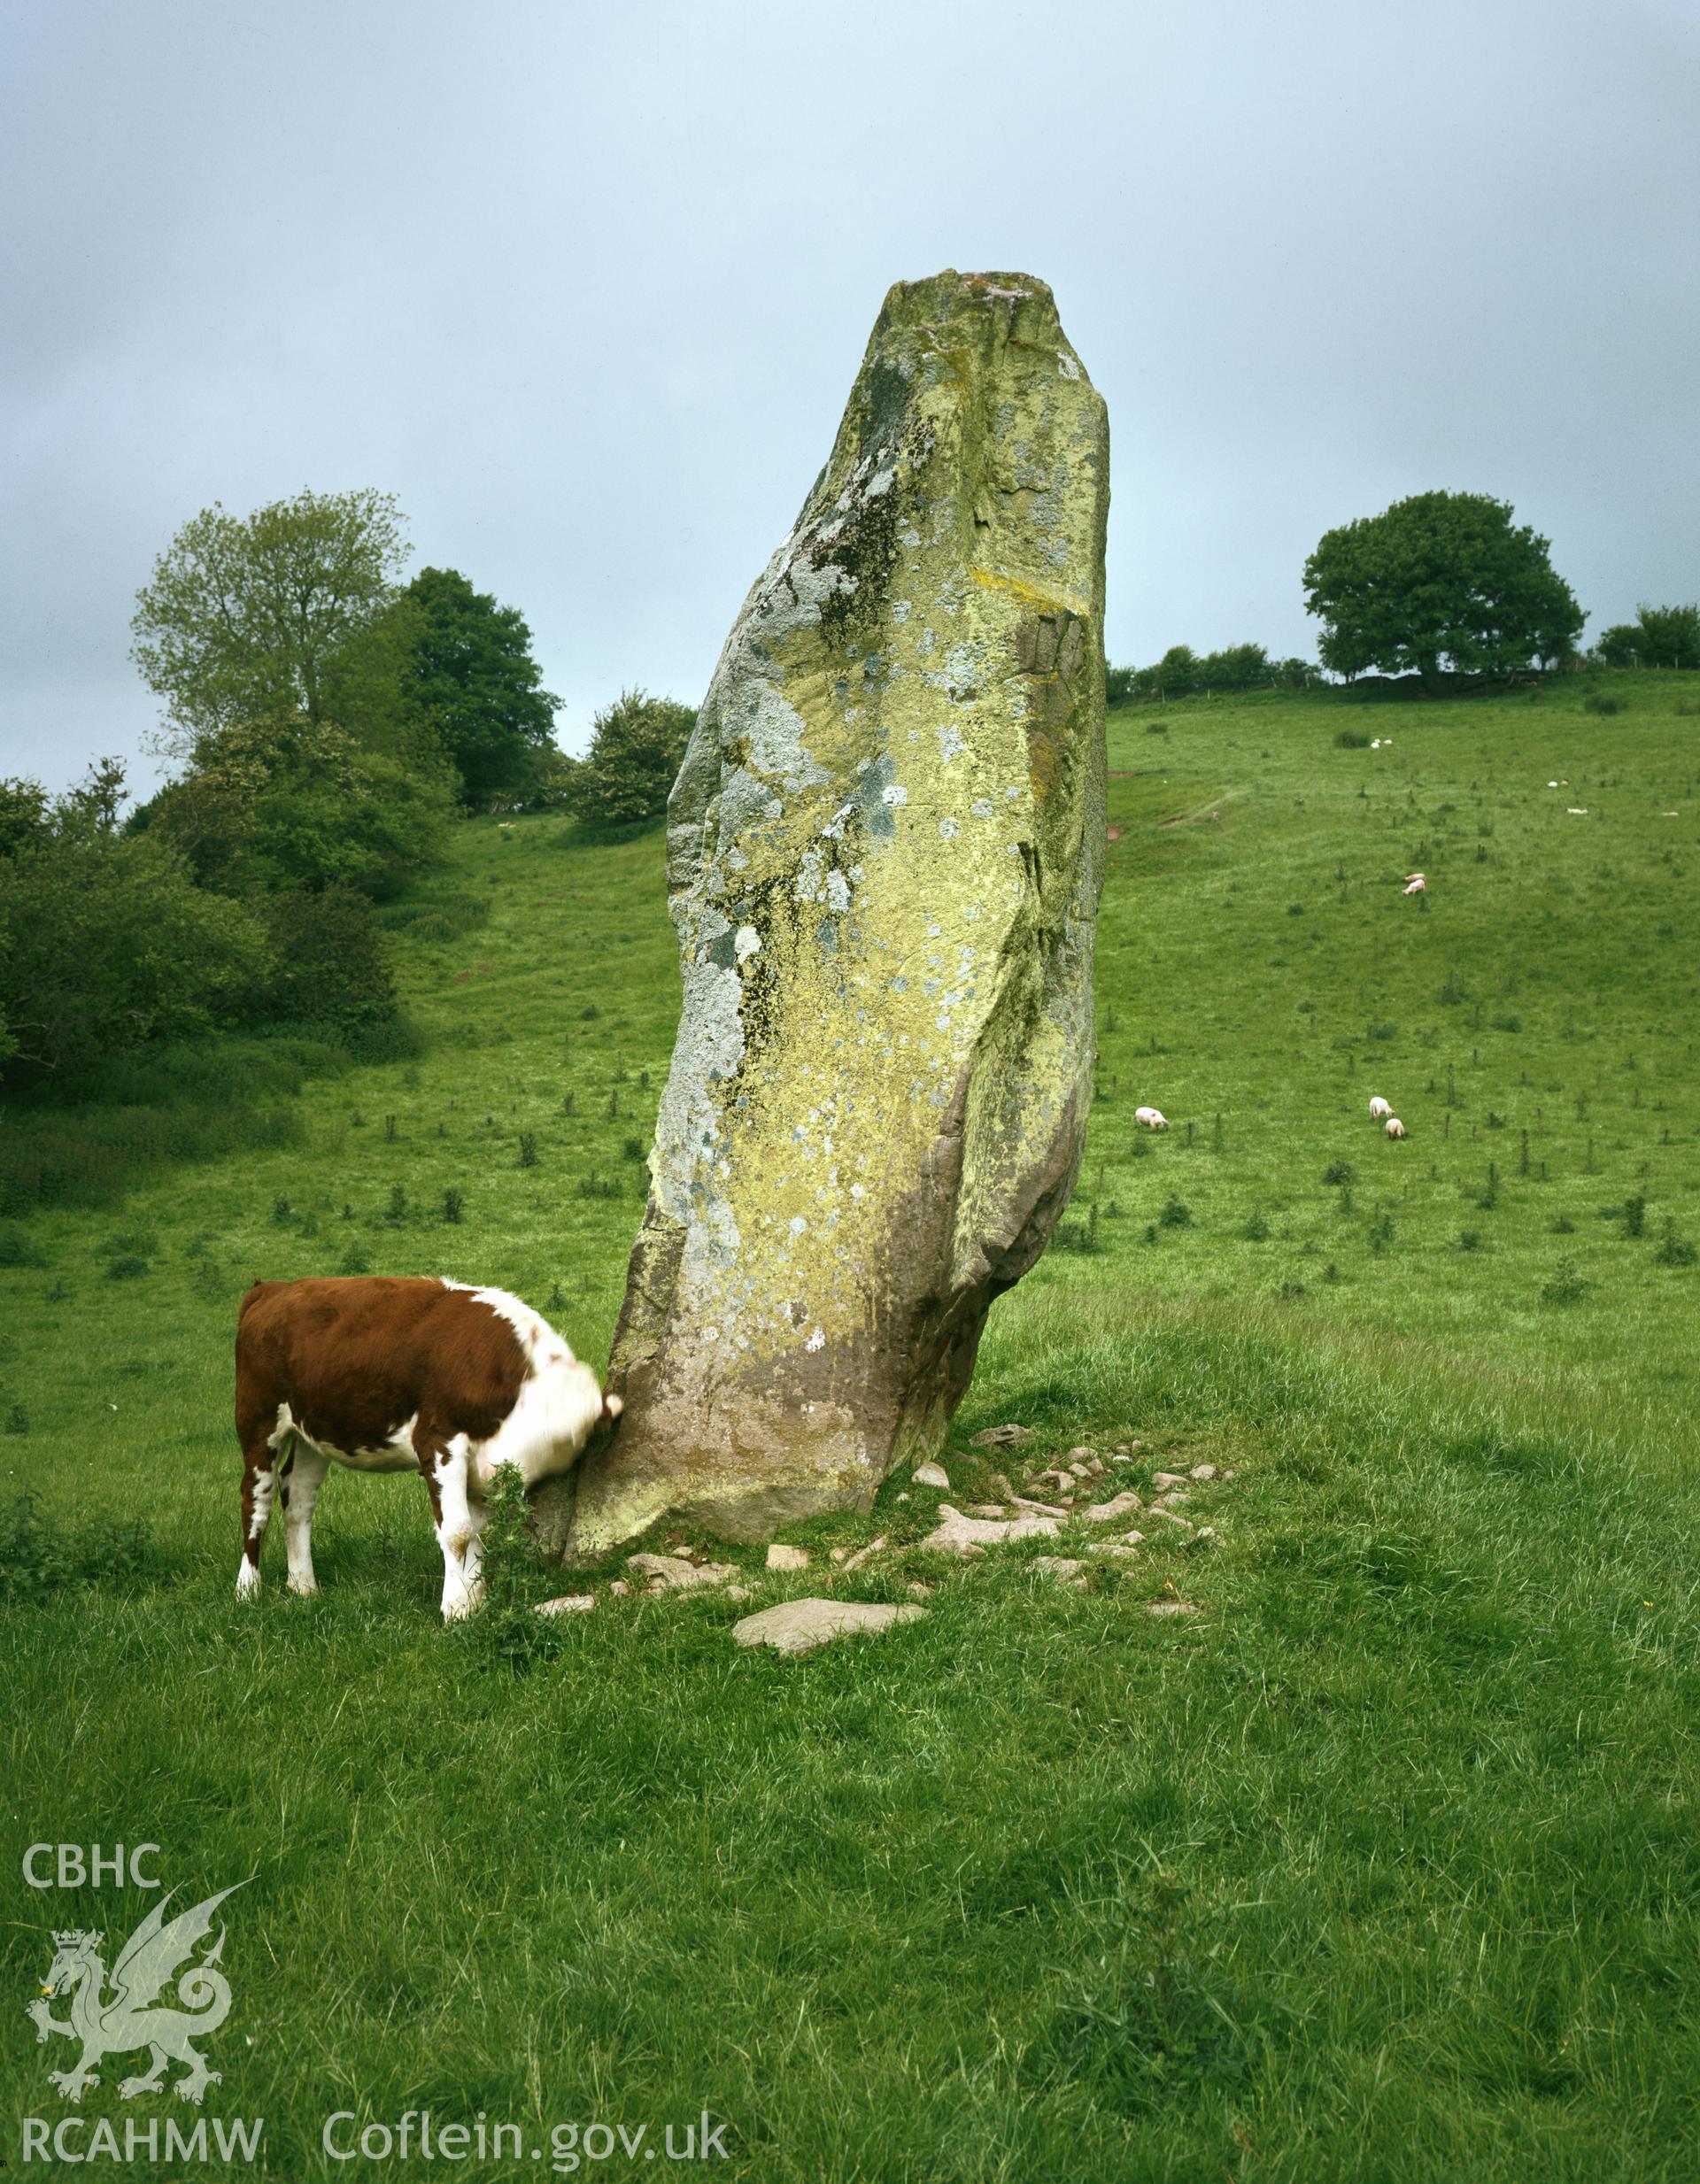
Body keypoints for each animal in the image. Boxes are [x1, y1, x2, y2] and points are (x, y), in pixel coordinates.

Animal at [230, 1275, 615, 1616]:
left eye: (563, 1447)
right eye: (531, 1414)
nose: (495, 1473)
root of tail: (272, 1289)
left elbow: (477, 1532)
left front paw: (474, 1600)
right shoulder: (438, 1439)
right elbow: (457, 1531)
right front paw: (455, 1608)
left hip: (313, 1430)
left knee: (297, 1498)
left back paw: (303, 1586)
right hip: (258, 1420)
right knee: (256, 1499)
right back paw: (248, 1590)